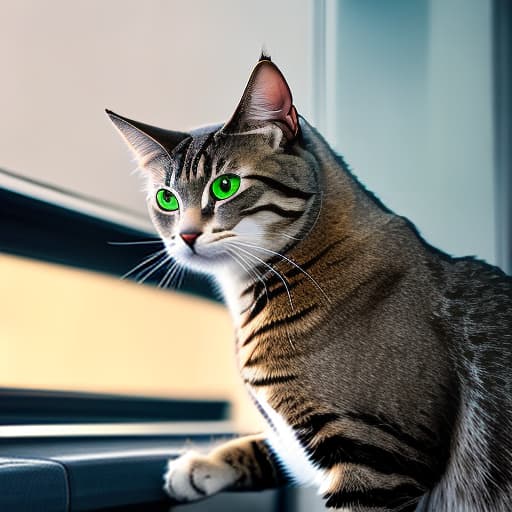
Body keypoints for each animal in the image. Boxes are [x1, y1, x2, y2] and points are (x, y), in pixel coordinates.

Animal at [107, 54, 512, 510]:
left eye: (225, 185)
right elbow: (266, 445)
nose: (187, 235)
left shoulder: (377, 458)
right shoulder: (298, 446)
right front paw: (200, 465)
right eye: (166, 198)